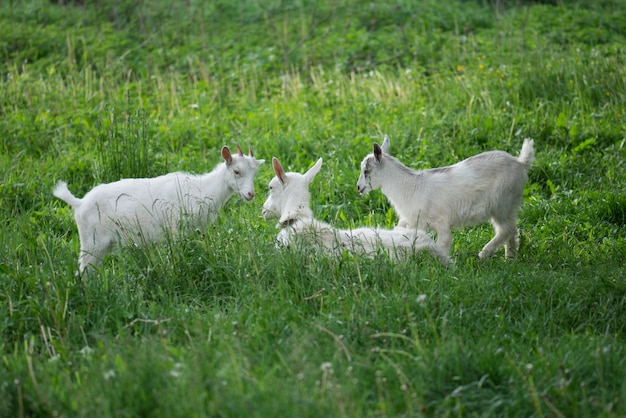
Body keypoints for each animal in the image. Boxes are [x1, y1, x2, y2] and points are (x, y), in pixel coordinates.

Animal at [53, 145, 264, 274]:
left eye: (255, 173)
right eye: (236, 171)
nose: (250, 194)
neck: (202, 189)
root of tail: (79, 203)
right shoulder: (176, 230)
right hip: (92, 242)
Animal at [356, 137, 532, 260]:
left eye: (366, 171)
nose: (358, 187)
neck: (411, 187)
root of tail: (520, 163)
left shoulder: (441, 222)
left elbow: (443, 243)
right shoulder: (413, 221)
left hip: (501, 203)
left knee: (506, 229)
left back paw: (484, 254)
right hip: (509, 206)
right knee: (512, 230)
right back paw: (509, 259)